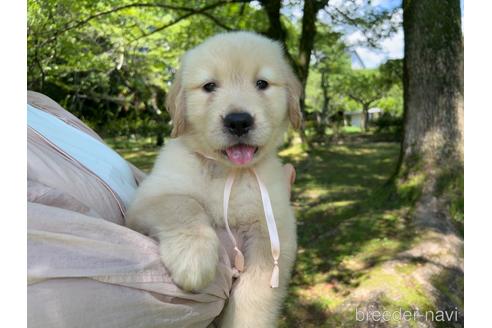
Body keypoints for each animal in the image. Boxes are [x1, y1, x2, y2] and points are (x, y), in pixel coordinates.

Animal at [127, 31, 300, 328]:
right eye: (209, 86)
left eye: (262, 83)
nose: (239, 121)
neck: (227, 172)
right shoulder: (149, 197)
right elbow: (183, 205)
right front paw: (193, 256)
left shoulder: (274, 229)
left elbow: (257, 291)